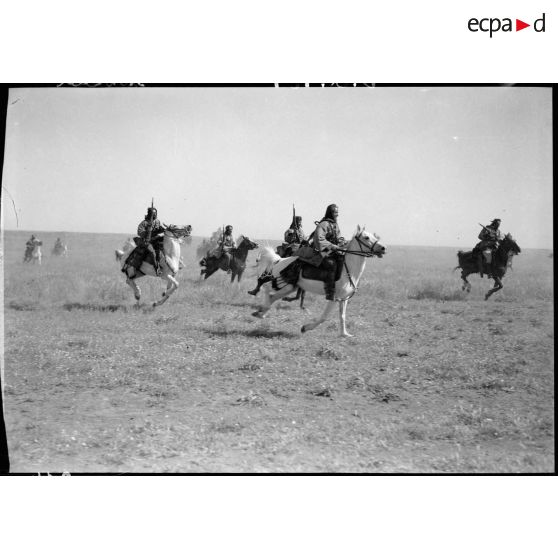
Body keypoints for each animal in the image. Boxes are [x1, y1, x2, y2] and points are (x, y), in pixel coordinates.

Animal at [253, 226, 384, 336]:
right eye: (366, 237)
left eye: (374, 236)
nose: (383, 248)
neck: (348, 269)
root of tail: (279, 260)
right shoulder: (334, 298)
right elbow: (324, 317)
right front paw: (305, 328)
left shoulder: (344, 299)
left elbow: (342, 316)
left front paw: (344, 334)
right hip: (283, 284)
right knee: (266, 288)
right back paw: (261, 308)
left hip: (290, 287)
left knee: (272, 296)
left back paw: (261, 312)